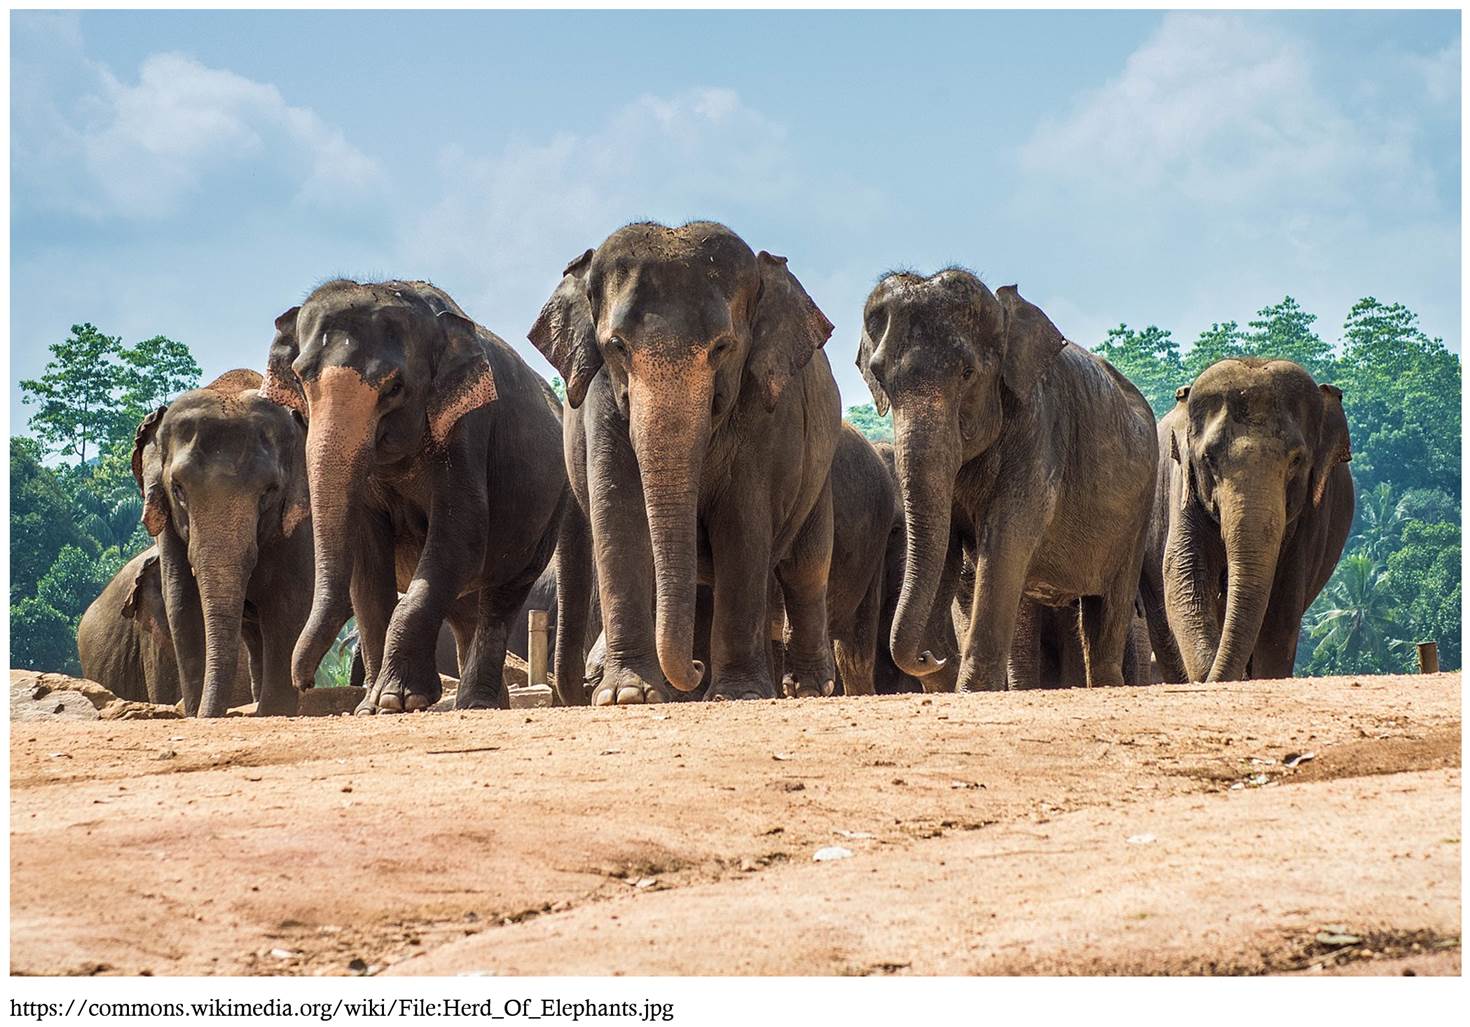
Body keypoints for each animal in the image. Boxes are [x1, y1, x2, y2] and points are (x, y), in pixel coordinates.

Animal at [132, 369, 313, 717]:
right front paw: (195, 712)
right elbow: (181, 604)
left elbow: (288, 603)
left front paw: (274, 712)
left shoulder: (302, 520)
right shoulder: (169, 531)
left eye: (269, 491)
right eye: (178, 489)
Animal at [262, 279, 588, 714]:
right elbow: (367, 565)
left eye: (395, 387)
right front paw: (371, 707)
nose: (305, 682)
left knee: (500, 596)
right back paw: (480, 701)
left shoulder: (467, 429)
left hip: (546, 514)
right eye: (300, 379)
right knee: (465, 605)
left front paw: (398, 699)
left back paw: (477, 703)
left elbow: (460, 537)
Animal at [529, 220, 842, 704]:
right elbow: (619, 518)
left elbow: (742, 524)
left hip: (819, 475)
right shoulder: (602, 405)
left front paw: (739, 695)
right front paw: (628, 694)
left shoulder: (765, 414)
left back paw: (807, 688)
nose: (694, 670)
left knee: (804, 568)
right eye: (617, 346)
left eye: (723, 347)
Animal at [857, 269, 1158, 692]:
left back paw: (1106, 683)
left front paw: (970, 690)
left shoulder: (1039, 428)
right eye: (880, 378)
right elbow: (947, 547)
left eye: (967, 373)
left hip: (1139, 508)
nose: (929, 657)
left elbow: (1005, 540)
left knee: (1110, 601)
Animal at [1142, 357, 1354, 682]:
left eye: (1296, 460)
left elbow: (1282, 604)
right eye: (1208, 458)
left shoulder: (1310, 515)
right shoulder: (1182, 490)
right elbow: (1184, 573)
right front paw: (1206, 672)